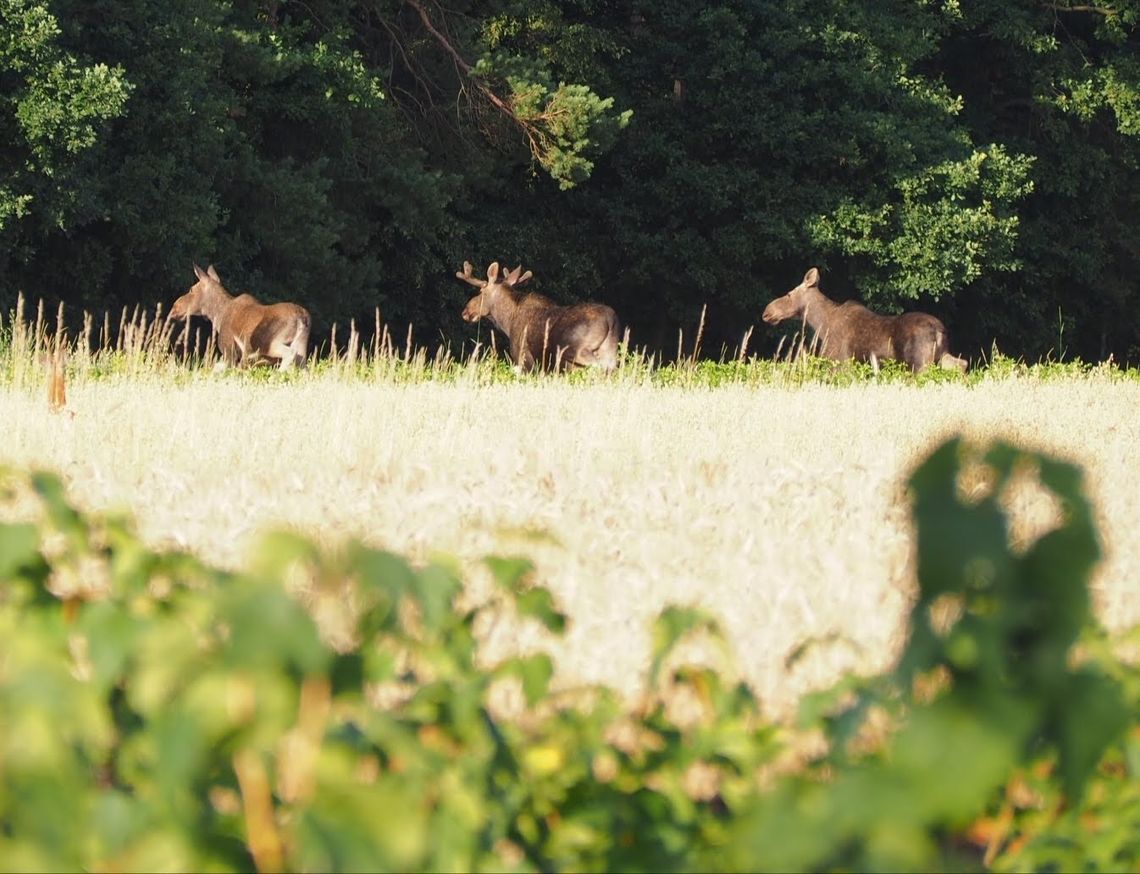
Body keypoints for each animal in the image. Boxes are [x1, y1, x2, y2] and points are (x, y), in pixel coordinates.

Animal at [168, 259, 312, 369]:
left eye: (191, 289)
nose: (175, 307)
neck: (218, 316)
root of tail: (302, 318)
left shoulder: (230, 352)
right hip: (301, 345)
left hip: (264, 343)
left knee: (289, 354)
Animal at [453, 257, 620, 371]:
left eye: (481, 292)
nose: (465, 311)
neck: (507, 322)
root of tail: (610, 320)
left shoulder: (523, 357)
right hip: (610, 352)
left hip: (578, 350)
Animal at [761, 268, 966, 373]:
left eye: (789, 294)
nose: (767, 311)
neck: (820, 323)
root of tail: (939, 331)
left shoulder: (839, 360)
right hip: (941, 355)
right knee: (962, 364)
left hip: (920, 362)